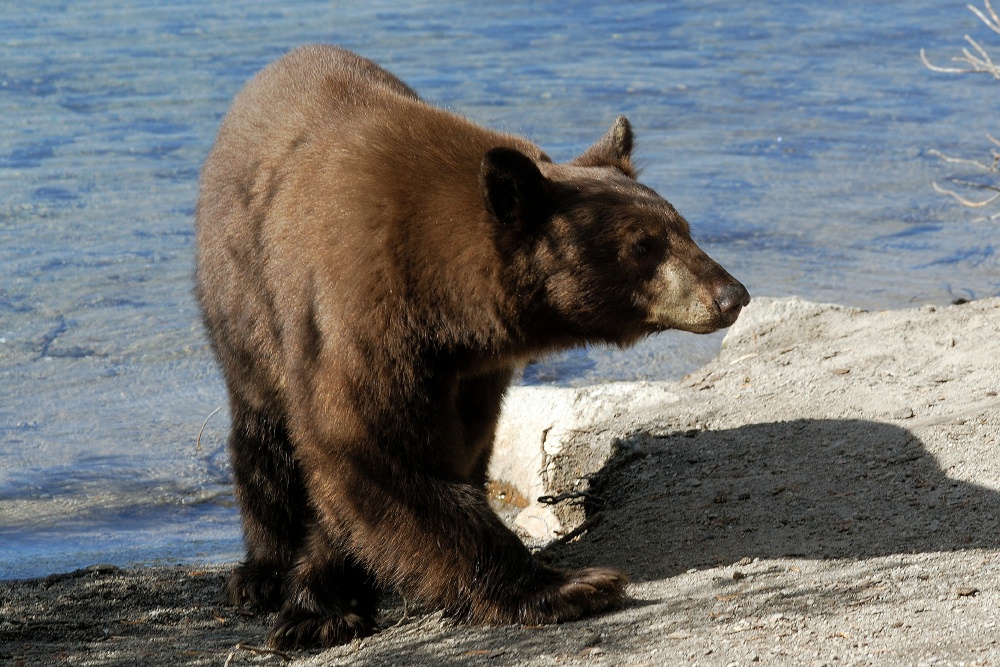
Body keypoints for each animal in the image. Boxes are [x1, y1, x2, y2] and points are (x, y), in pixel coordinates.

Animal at [193, 44, 752, 648]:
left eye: (684, 228)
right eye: (643, 245)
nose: (732, 294)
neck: (442, 290)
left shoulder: (469, 369)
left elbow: (441, 453)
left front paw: (330, 593)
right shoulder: (358, 310)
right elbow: (373, 449)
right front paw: (566, 587)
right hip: (241, 301)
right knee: (262, 427)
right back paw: (263, 571)